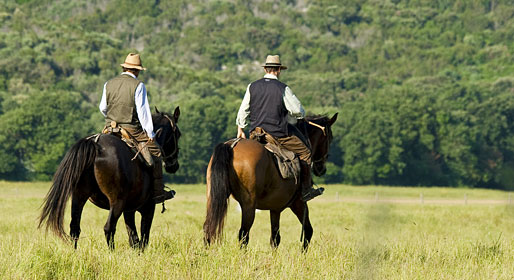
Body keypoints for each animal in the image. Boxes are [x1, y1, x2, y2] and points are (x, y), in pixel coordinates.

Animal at [39, 106, 181, 249]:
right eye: (178, 134)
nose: (173, 166)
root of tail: (95, 143)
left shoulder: (129, 210)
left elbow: (133, 239)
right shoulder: (148, 208)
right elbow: (143, 239)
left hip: (79, 197)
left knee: (75, 228)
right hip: (116, 202)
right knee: (109, 228)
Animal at [202, 114, 338, 249]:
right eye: (329, 138)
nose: (321, 169)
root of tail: (232, 146)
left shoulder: (275, 208)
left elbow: (275, 238)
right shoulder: (298, 203)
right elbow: (308, 230)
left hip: (213, 198)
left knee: (208, 227)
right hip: (248, 205)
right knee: (243, 234)